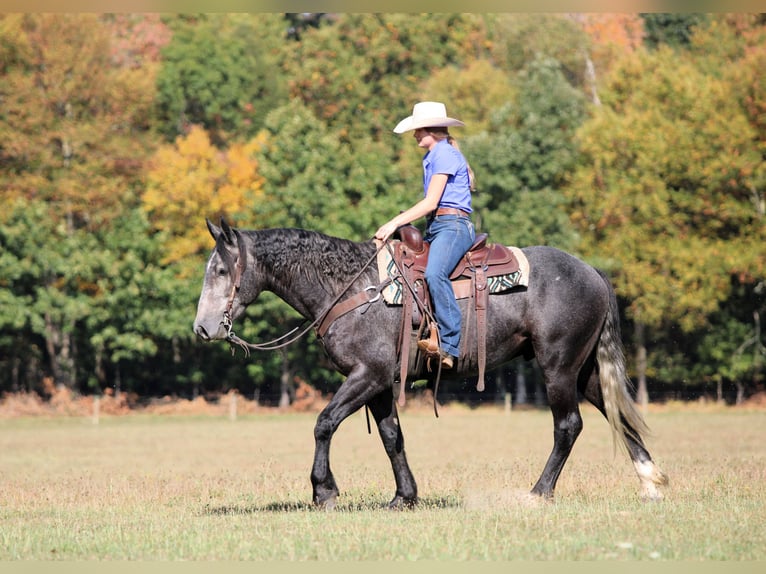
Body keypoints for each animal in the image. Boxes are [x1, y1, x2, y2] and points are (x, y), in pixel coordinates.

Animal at [193, 218, 668, 509]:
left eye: (221, 270)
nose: (202, 328)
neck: (349, 288)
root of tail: (592, 272)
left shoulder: (367, 375)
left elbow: (324, 423)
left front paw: (323, 490)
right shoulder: (380, 383)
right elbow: (392, 437)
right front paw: (404, 496)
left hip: (558, 368)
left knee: (568, 426)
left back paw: (538, 492)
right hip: (584, 371)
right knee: (615, 415)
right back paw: (651, 482)